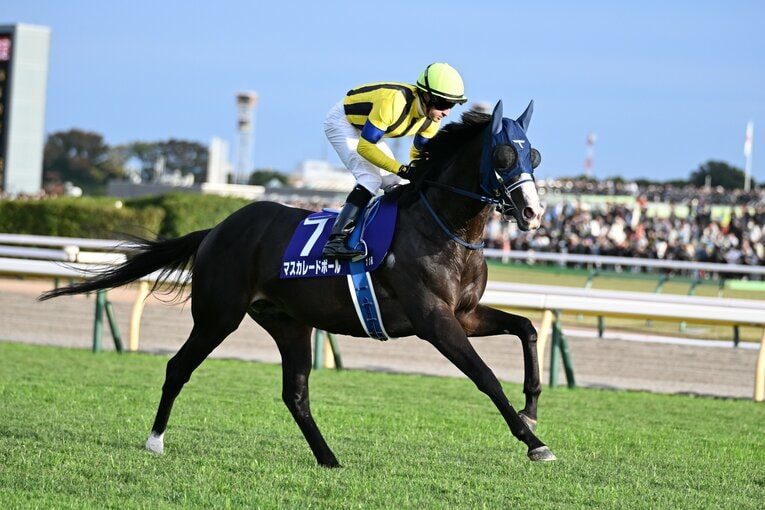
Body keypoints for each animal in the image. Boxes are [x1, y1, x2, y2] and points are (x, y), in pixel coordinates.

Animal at [40, 100, 556, 465]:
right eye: (503, 154)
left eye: (534, 154)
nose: (533, 213)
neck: (442, 227)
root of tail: (217, 229)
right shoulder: (434, 320)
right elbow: (486, 377)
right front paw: (534, 441)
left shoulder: (464, 314)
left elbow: (527, 328)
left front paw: (531, 409)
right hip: (218, 316)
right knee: (177, 368)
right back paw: (154, 441)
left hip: (290, 323)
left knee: (295, 394)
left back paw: (329, 458)